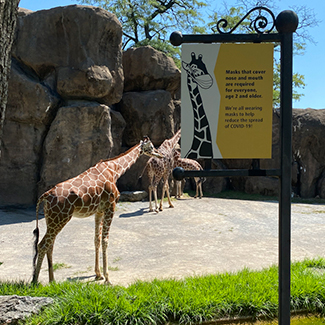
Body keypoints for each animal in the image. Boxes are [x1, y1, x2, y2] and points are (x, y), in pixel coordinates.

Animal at [31, 135, 162, 282]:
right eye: (151, 146)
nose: (160, 154)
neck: (114, 170)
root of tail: (46, 195)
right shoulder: (111, 206)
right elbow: (105, 240)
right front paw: (107, 278)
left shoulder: (99, 211)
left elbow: (96, 240)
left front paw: (98, 274)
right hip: (60, 217)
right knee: (42, 245)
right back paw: (35, 282)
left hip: (51, 218)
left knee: (50, 244)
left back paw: (52, 281)